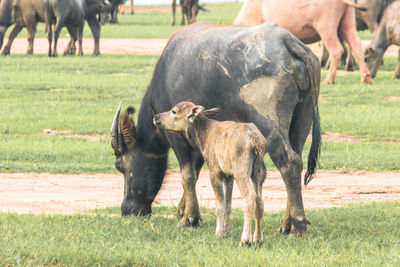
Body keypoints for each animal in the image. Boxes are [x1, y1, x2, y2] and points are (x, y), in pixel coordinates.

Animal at [153, 101, 268, 246]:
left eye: (174, 111)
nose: (156, 117)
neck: (203, 138)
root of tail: (256, 142)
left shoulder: (215, 171)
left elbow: (219, 204)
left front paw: (219, 232)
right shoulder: (228, 176)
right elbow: (227, 205)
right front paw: (226, 231)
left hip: (241, 169)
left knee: (250, 196)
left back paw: (246, 240)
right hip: (259, 172)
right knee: (260, 200)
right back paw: (258, 238)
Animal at [234, 0, 372, 84]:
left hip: (326, 26)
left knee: (336, 50)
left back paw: (329, 79)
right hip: (347, 22)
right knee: (356, 46)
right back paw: (365, 77)